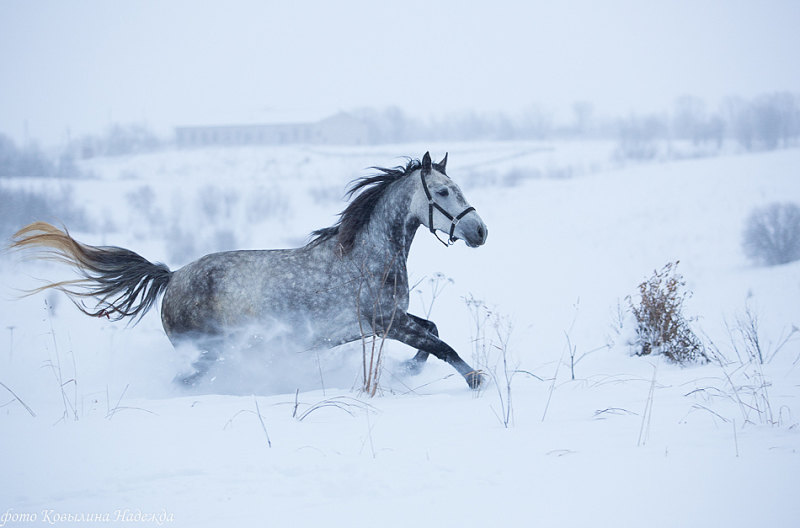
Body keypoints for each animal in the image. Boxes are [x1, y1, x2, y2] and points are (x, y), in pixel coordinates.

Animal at [10, 152, 488, 388]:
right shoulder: (384, 321)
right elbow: (442, 345)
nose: (480, 231)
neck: (366, 254)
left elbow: (434, 330)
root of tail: (172, 277)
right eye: (443, 192)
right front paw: (476, 380)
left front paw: (411, 369)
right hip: (208, 351)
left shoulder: (387, 321)